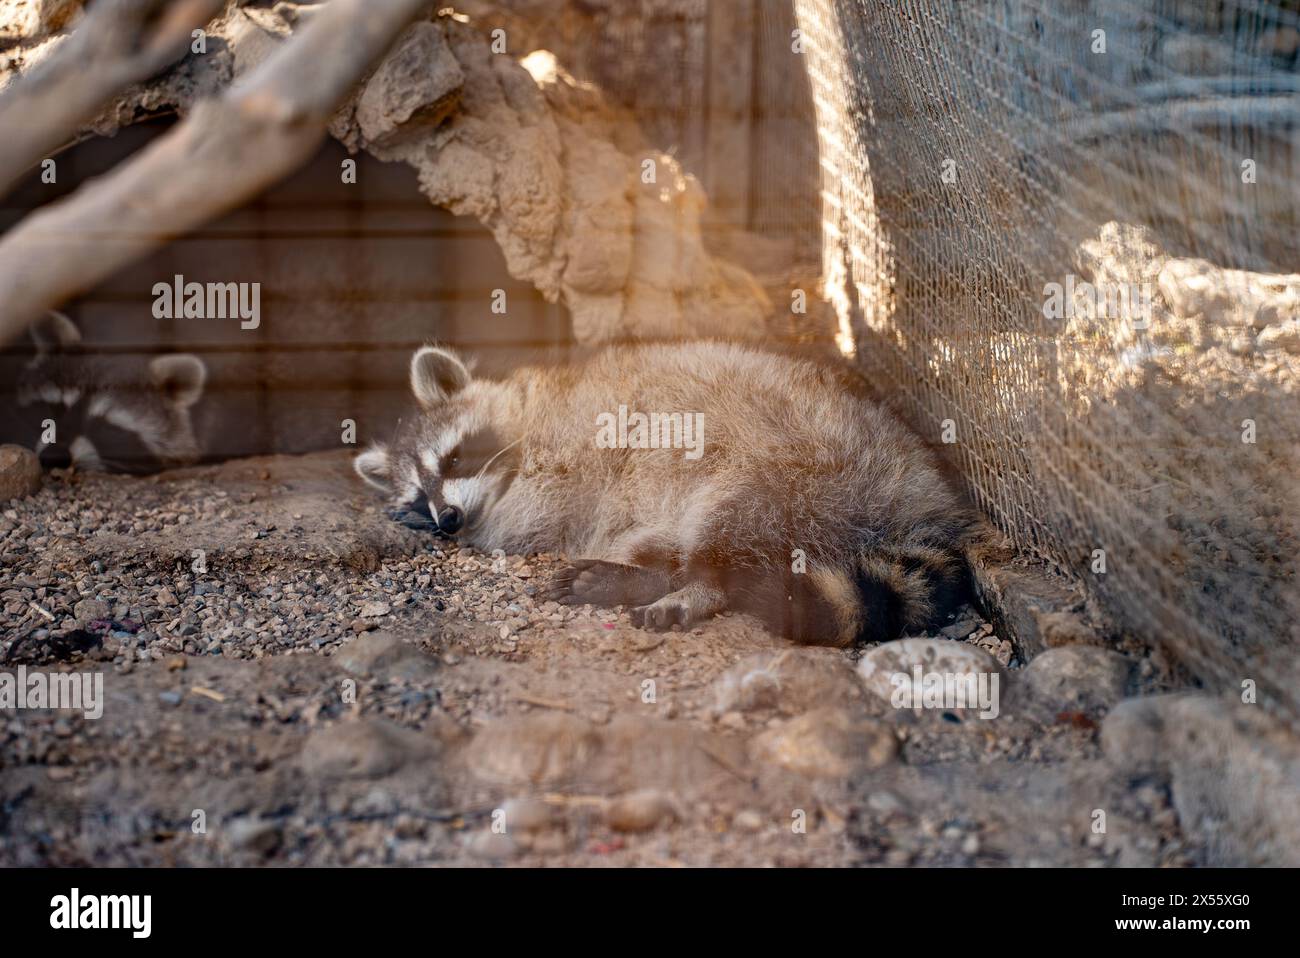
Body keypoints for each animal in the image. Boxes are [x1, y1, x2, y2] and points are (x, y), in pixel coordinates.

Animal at [356, 340, 977, 647]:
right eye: (417, 496)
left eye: (453, 459)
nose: (446, 518)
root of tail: (918, 490)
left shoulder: (582, 428)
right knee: (669, 542)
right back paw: (639, 577)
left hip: (803, 465)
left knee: (727, 526)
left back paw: (698, 587)